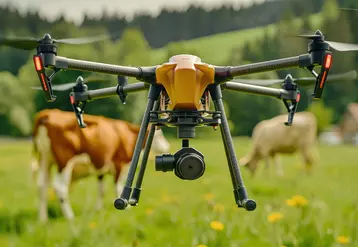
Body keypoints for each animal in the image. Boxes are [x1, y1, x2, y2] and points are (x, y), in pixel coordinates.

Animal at [30, 109, 171, 223]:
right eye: (159, 136)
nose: (167, 147)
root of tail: (48, 113)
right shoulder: (119, 164)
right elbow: (118, 186)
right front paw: (126, 208)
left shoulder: (101, 168)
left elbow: (101, 190)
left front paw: (99, 209)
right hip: (64, 162)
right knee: (60, 187)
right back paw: (69, 216)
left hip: (45, 160)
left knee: (41, 186)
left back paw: (43, 218)